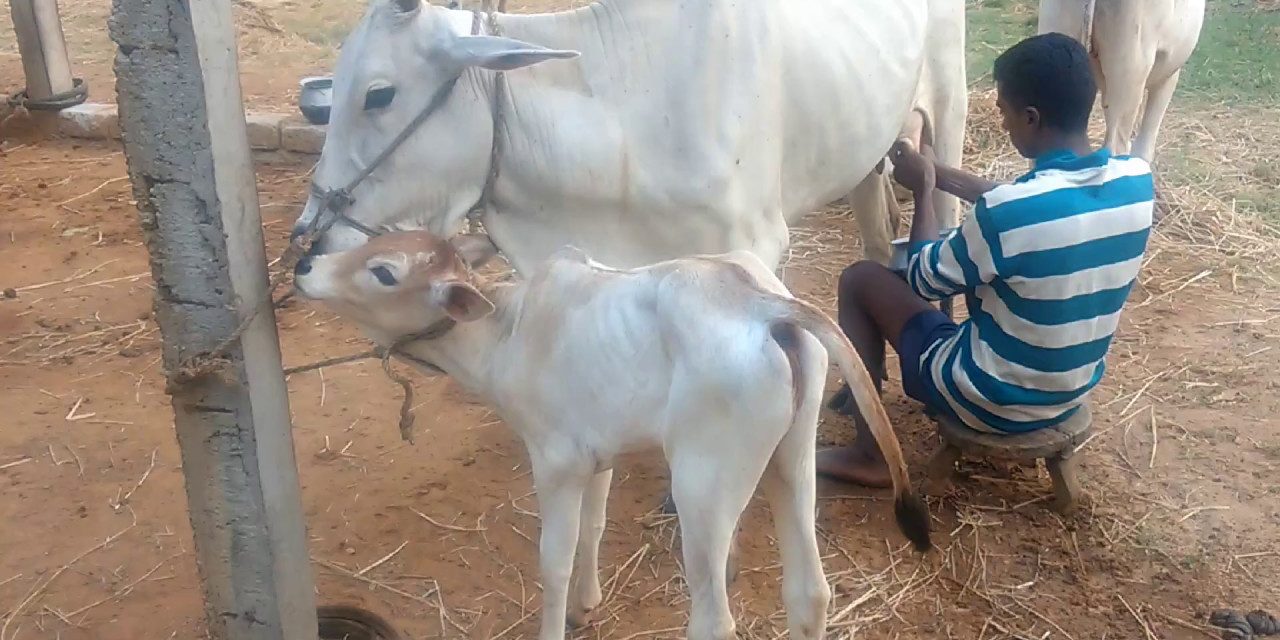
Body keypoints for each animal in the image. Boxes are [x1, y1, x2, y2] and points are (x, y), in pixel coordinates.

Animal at [292, 229, 931, 640]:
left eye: (383, 271)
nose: (305, 266)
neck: (506, 331)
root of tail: (762, 305)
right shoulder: (598, 455)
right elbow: (592, 530)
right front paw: (586, 606)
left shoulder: (555, 462)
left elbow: (552, 561)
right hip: (791, 461)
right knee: (809, 594)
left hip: (703, 490)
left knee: (714, 618)